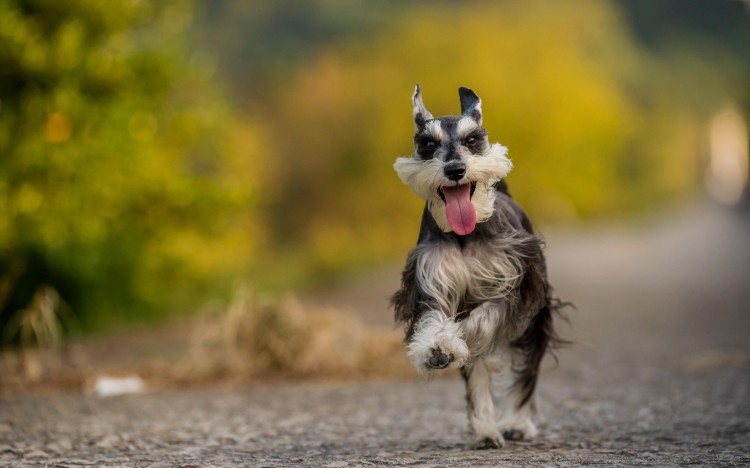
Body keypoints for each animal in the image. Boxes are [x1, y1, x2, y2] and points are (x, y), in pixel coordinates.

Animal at [394, 85, 564, 450]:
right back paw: (486, 430)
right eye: (428, 144)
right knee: (478, 375)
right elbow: (436, 321)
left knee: (526, 371)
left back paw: (517, 423)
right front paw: (437, 347)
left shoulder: (515, 287)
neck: (465, 234)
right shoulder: (432, 281)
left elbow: (484, 320)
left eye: (472, 139)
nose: (456, 169)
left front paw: (457, 339)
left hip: (536, 320)